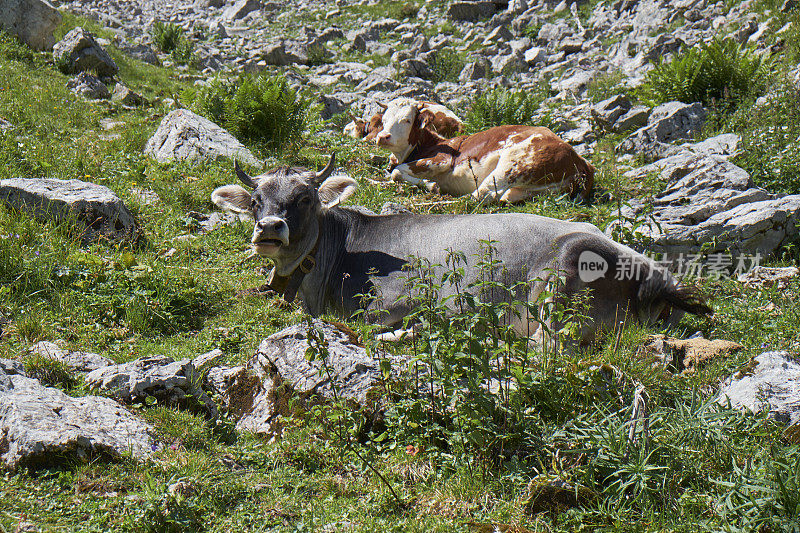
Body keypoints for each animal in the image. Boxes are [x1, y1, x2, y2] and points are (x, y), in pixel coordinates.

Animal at [214, 154, 712, 344]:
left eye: (305, 198)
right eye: (255, 201)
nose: (269, 228)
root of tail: (653, 272)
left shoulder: (398, 300)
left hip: (558, 289)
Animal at [376, 101, 592, 203]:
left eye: (407, 120)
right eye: (384, 119)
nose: (383, 136)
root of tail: (581, 160)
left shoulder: (442, 159)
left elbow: (397, 172)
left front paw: (432, 185)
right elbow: (395, 172)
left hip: (512, 165)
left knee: (478, 196)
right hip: (537, 189)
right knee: (501, 197)